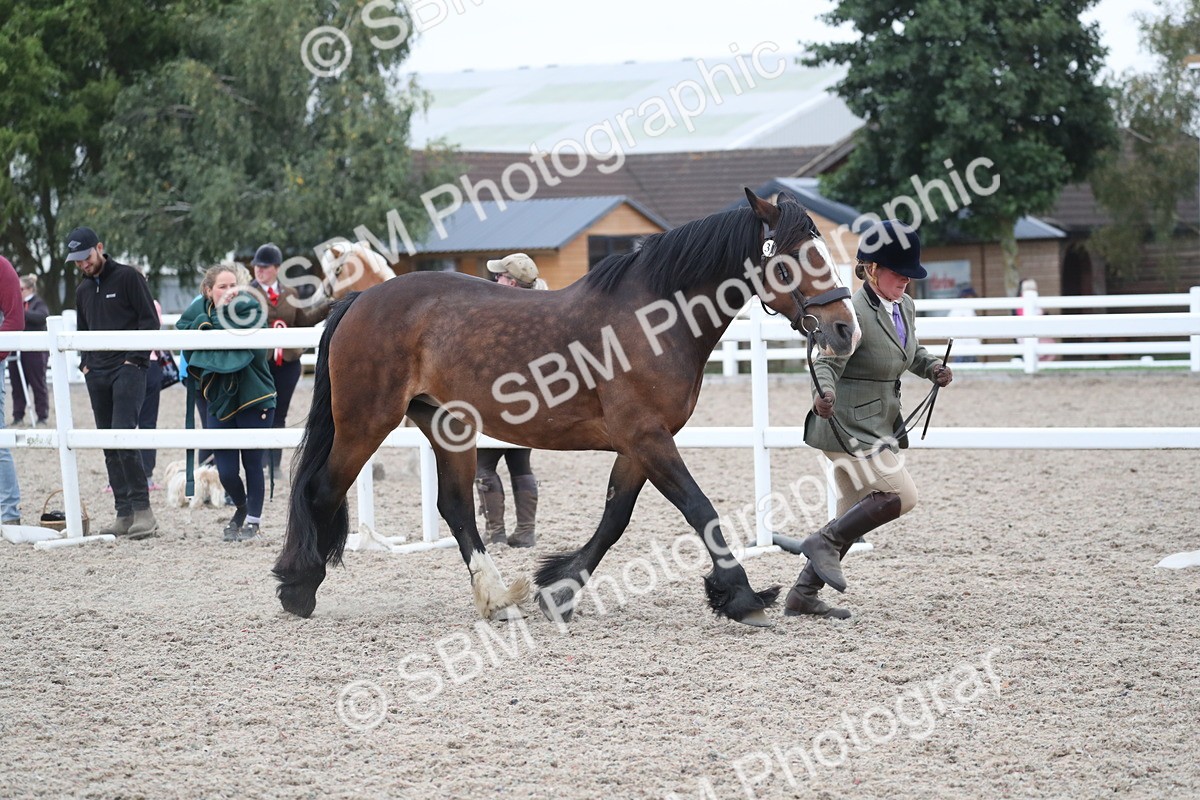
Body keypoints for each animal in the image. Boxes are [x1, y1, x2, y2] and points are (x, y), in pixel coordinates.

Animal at [273, 189, 861, 627]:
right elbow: (699, 510)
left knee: (456, 507)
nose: (843, 330)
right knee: (322, 489)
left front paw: (559, 590)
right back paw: (299, 586)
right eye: (793, 259)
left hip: (448, 426)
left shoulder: (639, 444)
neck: (652, 318)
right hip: (365, 422)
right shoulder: (648, 438)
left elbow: (614, 518)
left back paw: (495, 598)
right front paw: (741, 596)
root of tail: (360, 301)